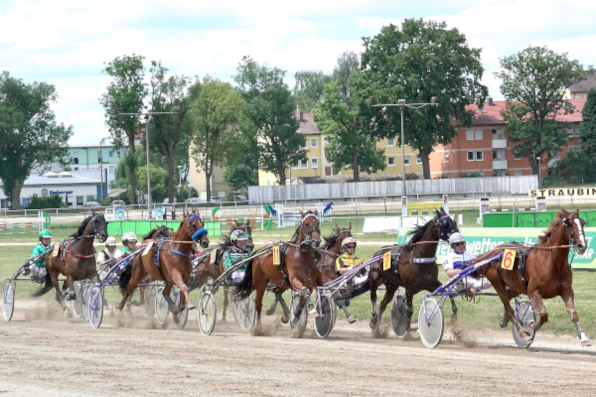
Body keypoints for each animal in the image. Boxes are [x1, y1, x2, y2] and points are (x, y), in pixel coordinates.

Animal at [470, 209, 592, 344]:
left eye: (582, 223)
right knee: (508, 307)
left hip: (516, 285)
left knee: (508, 297)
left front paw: (584, 337)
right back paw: (523, 334)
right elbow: (543, 315)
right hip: (497, 282)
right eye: (569, 224)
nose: (582, 246)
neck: (551, 262)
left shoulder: (567, 290)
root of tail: (490, 253)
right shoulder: (533, 292)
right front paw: (532, 325)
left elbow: (573, 313)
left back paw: (504, 321)